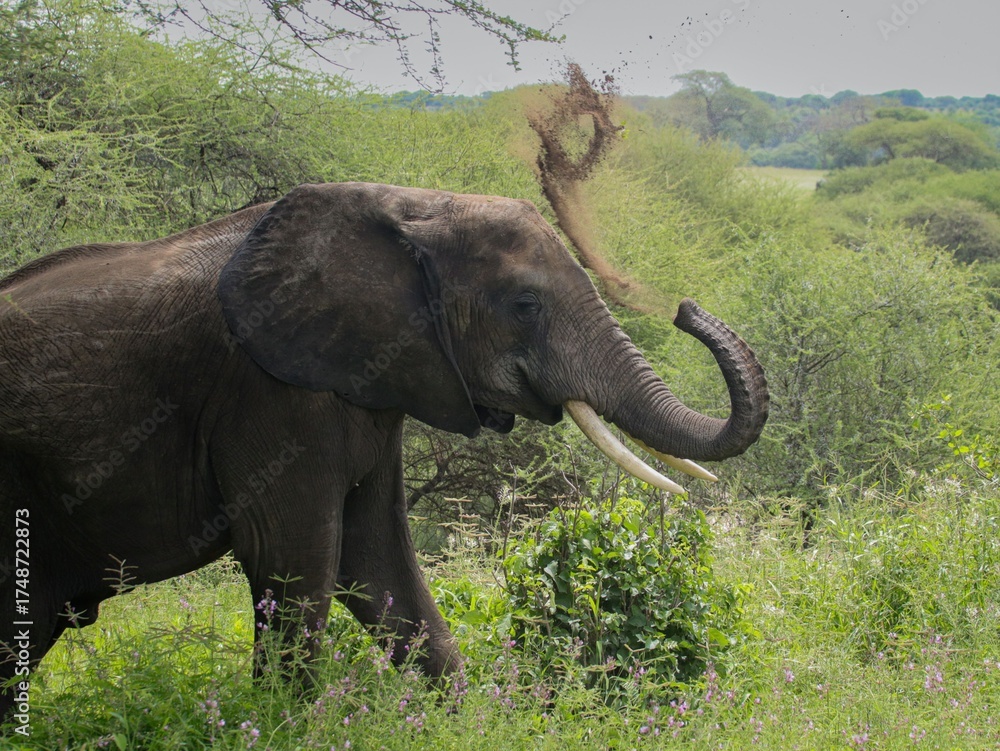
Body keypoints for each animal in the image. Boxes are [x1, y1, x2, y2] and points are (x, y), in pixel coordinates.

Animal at [0, 182, 767, 718]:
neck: (412, 207)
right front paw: (285, 727)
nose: (684, 308)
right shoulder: (268, 392)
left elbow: (379, 560)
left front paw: (463, 723)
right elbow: (294, 560)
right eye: (525, 306)